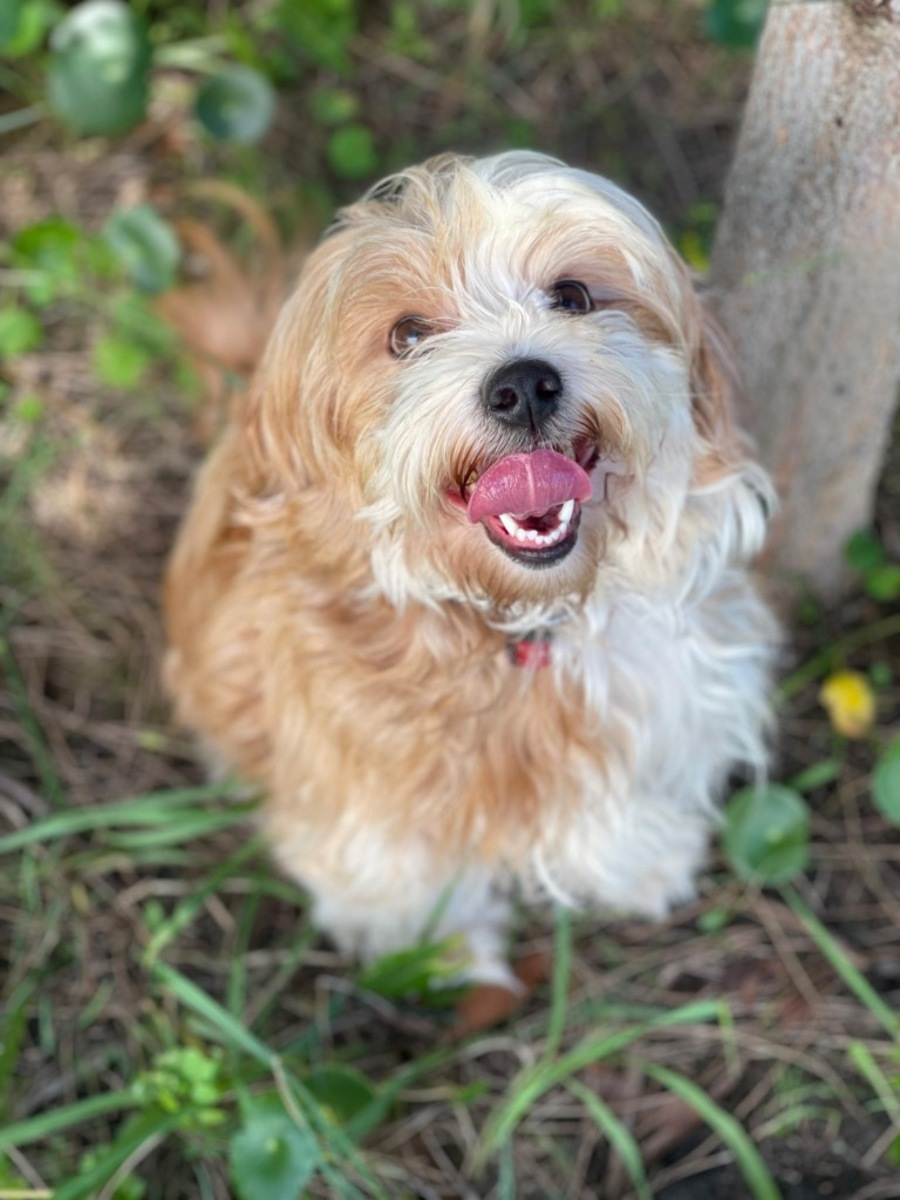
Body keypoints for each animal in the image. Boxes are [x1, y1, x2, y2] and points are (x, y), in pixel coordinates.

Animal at [164, 152, 778, 994]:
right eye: (407, 334)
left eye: (572, 296)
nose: (523, 385)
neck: (514, 623)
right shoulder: (356, 779)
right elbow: (393, 868)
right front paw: (434, 951)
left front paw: (636, 858)